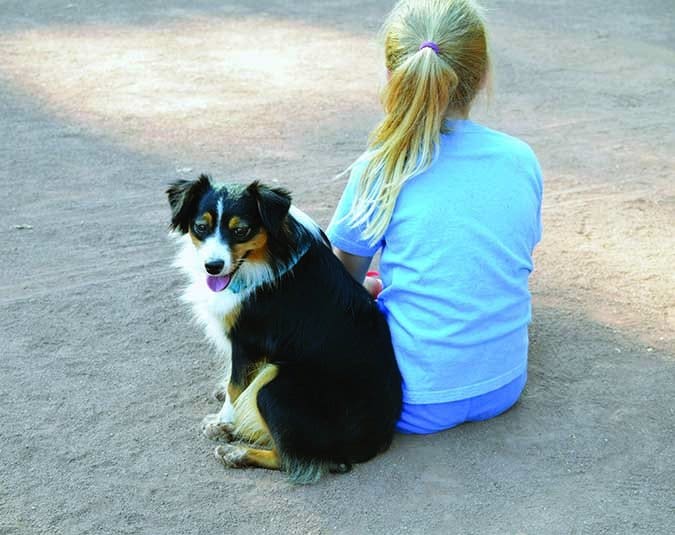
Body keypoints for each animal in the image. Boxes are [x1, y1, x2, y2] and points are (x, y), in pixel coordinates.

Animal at [167, 176, 404, 486]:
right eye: (201, 227)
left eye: (241, 230)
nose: (213, 267)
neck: (266, 255)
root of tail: (375, 441)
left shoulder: (247, 339)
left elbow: (236, 386)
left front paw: (223, 419)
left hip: (276, 388)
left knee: (296, 458)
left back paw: (236, 451)